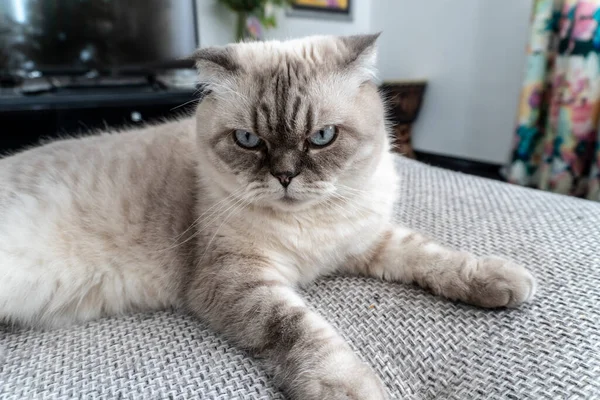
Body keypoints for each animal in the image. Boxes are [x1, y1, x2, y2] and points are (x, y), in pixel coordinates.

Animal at [0, 35, 536, 400]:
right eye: (248, 141)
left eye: (321, 137)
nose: (284, 176)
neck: (313, 225)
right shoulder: (239, 279)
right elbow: (304, 331)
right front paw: (350, 388)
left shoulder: (366, 240)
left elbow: (434, 256)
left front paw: (501, 281)